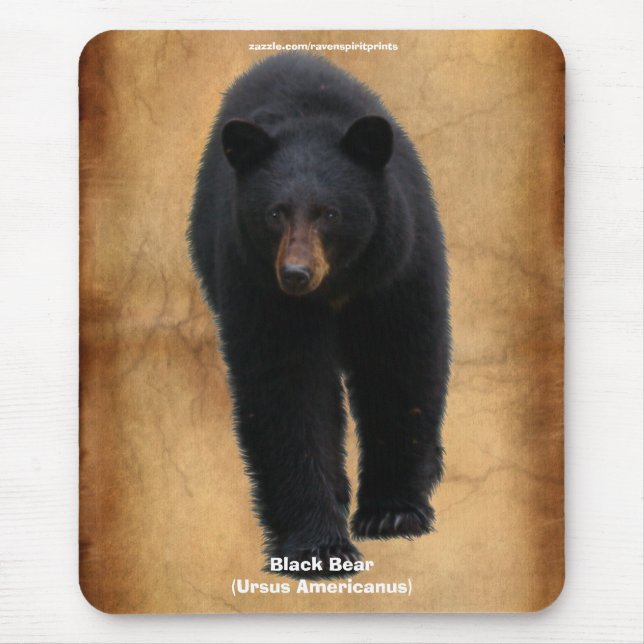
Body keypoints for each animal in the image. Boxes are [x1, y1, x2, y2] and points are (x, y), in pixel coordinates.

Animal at [188, 52, 450, 578]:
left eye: (330, 213)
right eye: (274, 214)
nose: (295, 274)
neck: (337, 286)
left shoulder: (398, 268)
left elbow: (399, 366)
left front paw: (392, 513)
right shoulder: (256, 283)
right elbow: (287, 389)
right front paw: (319, 547)